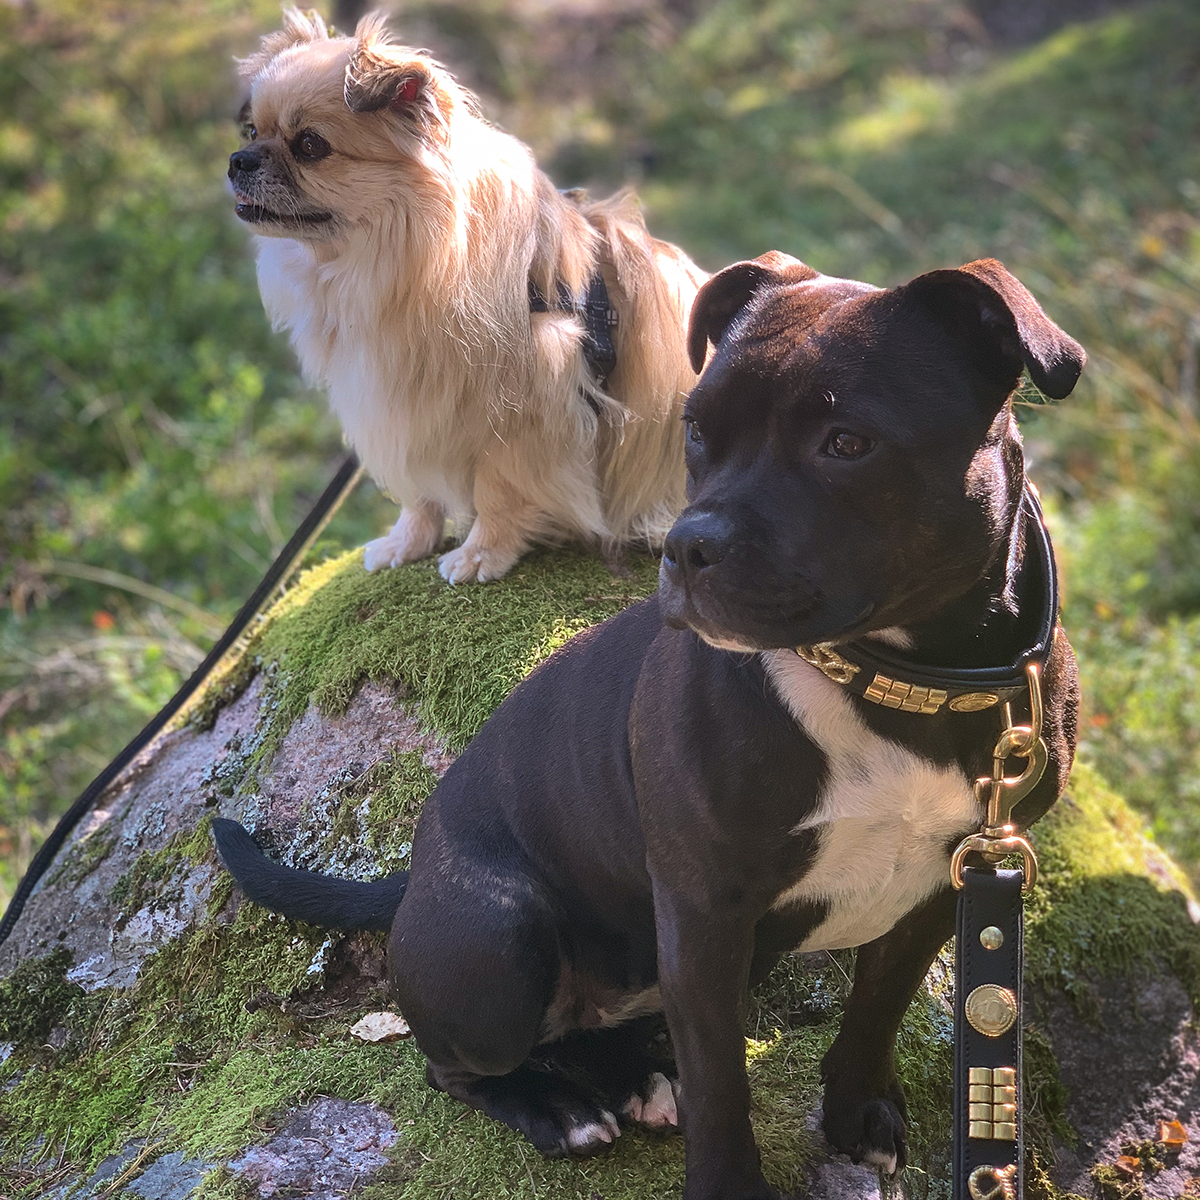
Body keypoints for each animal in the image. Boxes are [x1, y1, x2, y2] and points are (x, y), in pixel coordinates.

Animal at [216, 248, 1089, 1195]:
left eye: (847, 442)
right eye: (697, 429)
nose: (686, 545)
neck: (899, 686)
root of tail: (413, 877)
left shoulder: (950, 885)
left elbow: (875, 1009)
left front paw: (857, 1108)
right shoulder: (705, 915)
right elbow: (721, 1083)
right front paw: (729, 1182)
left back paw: (632, 1077)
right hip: (497, 931)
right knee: (457, 1066)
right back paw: (559, 1108)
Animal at [229, 9, 705, 580]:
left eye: (310, 146)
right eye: (252, 131)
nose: (238, 159)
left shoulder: (526, 413)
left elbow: (499, 490)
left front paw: (482, 554)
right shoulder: (400, 405)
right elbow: (418, 494)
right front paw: (407, 542)